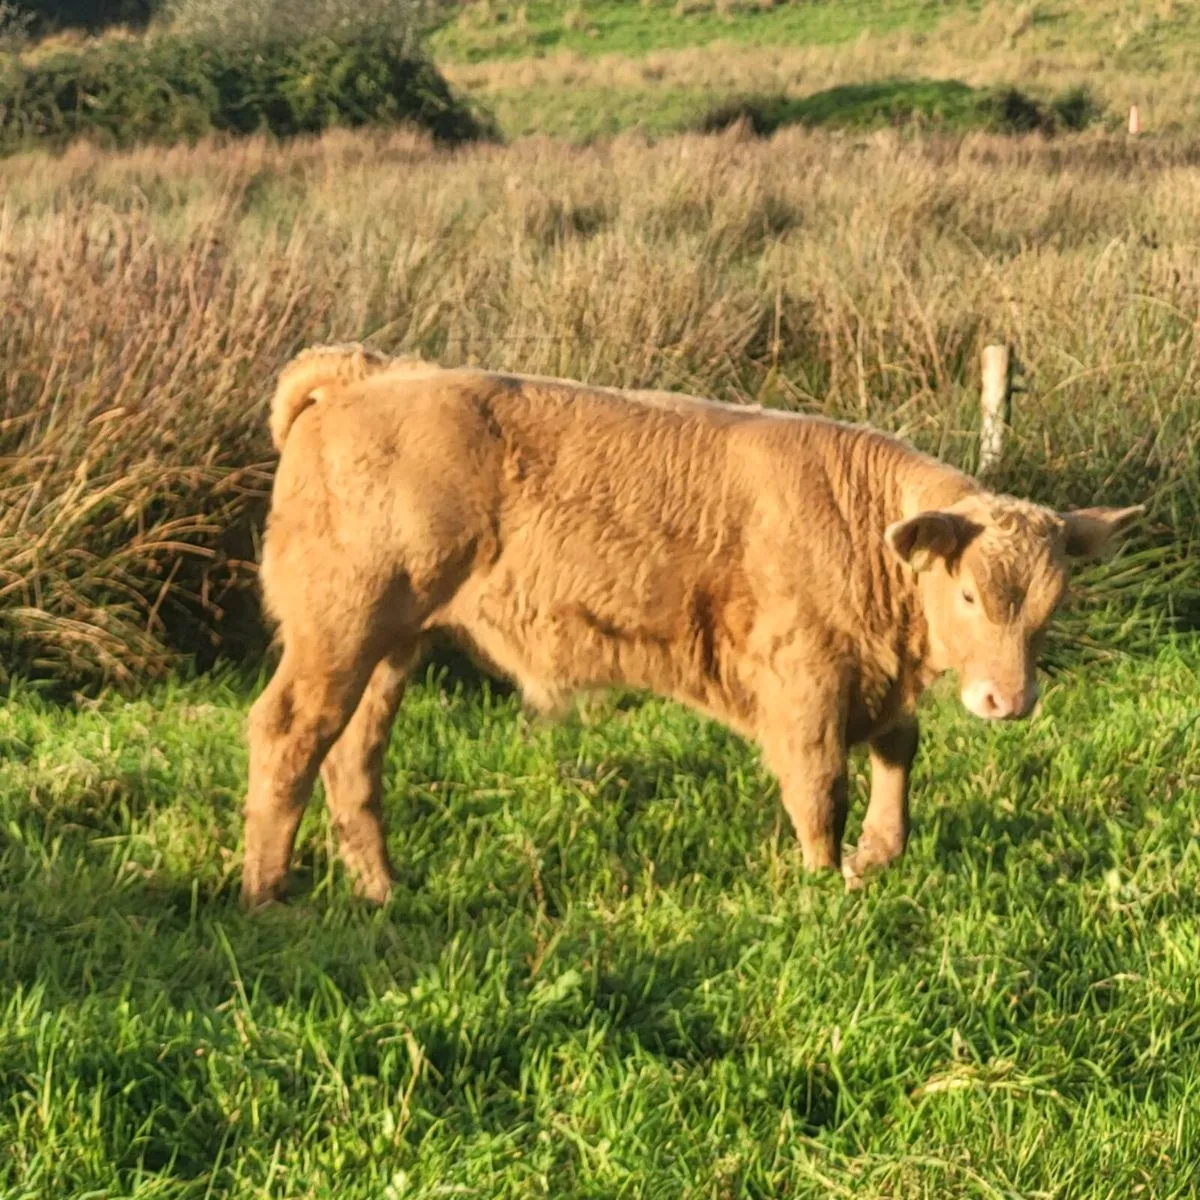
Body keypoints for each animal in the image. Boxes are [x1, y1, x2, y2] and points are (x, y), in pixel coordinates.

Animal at [241, 343, 1143, 908]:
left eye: (1053, 603)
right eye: (968, 598)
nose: (1009, 702)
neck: (859, 525)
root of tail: (371, 373)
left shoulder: (876, 681)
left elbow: (897, 761)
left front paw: (875, 858)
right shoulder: (806, 681)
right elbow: (821, 788)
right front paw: (824, 884)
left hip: (392, 645)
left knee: (351, 756)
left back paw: (382, 889)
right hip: (338, 628)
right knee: (289, 733)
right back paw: (267, 893)